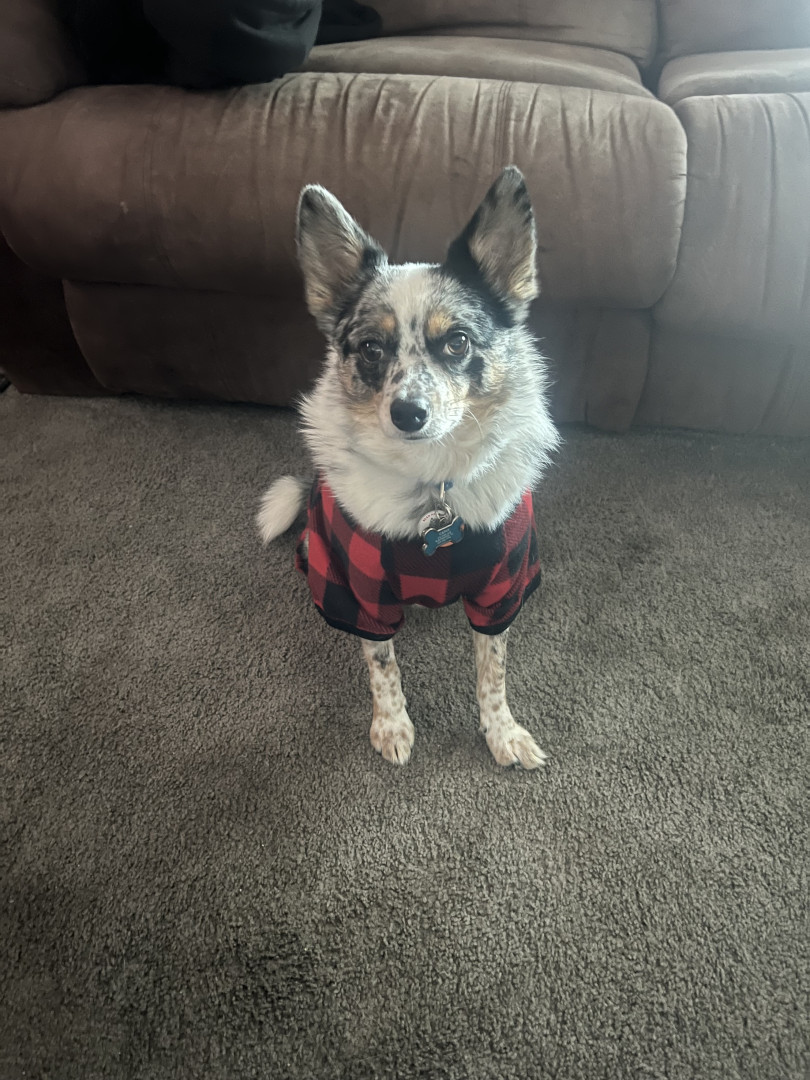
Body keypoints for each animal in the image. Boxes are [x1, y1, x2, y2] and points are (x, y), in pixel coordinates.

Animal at [257, 166, 559, 768]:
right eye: (372, 347)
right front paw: (392, 725)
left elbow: (493, 671)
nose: (407, 413)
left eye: (458, 341)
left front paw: (502, 732)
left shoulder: (502, 587)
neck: (432, 482)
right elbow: (383, 667)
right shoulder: (360, 593)